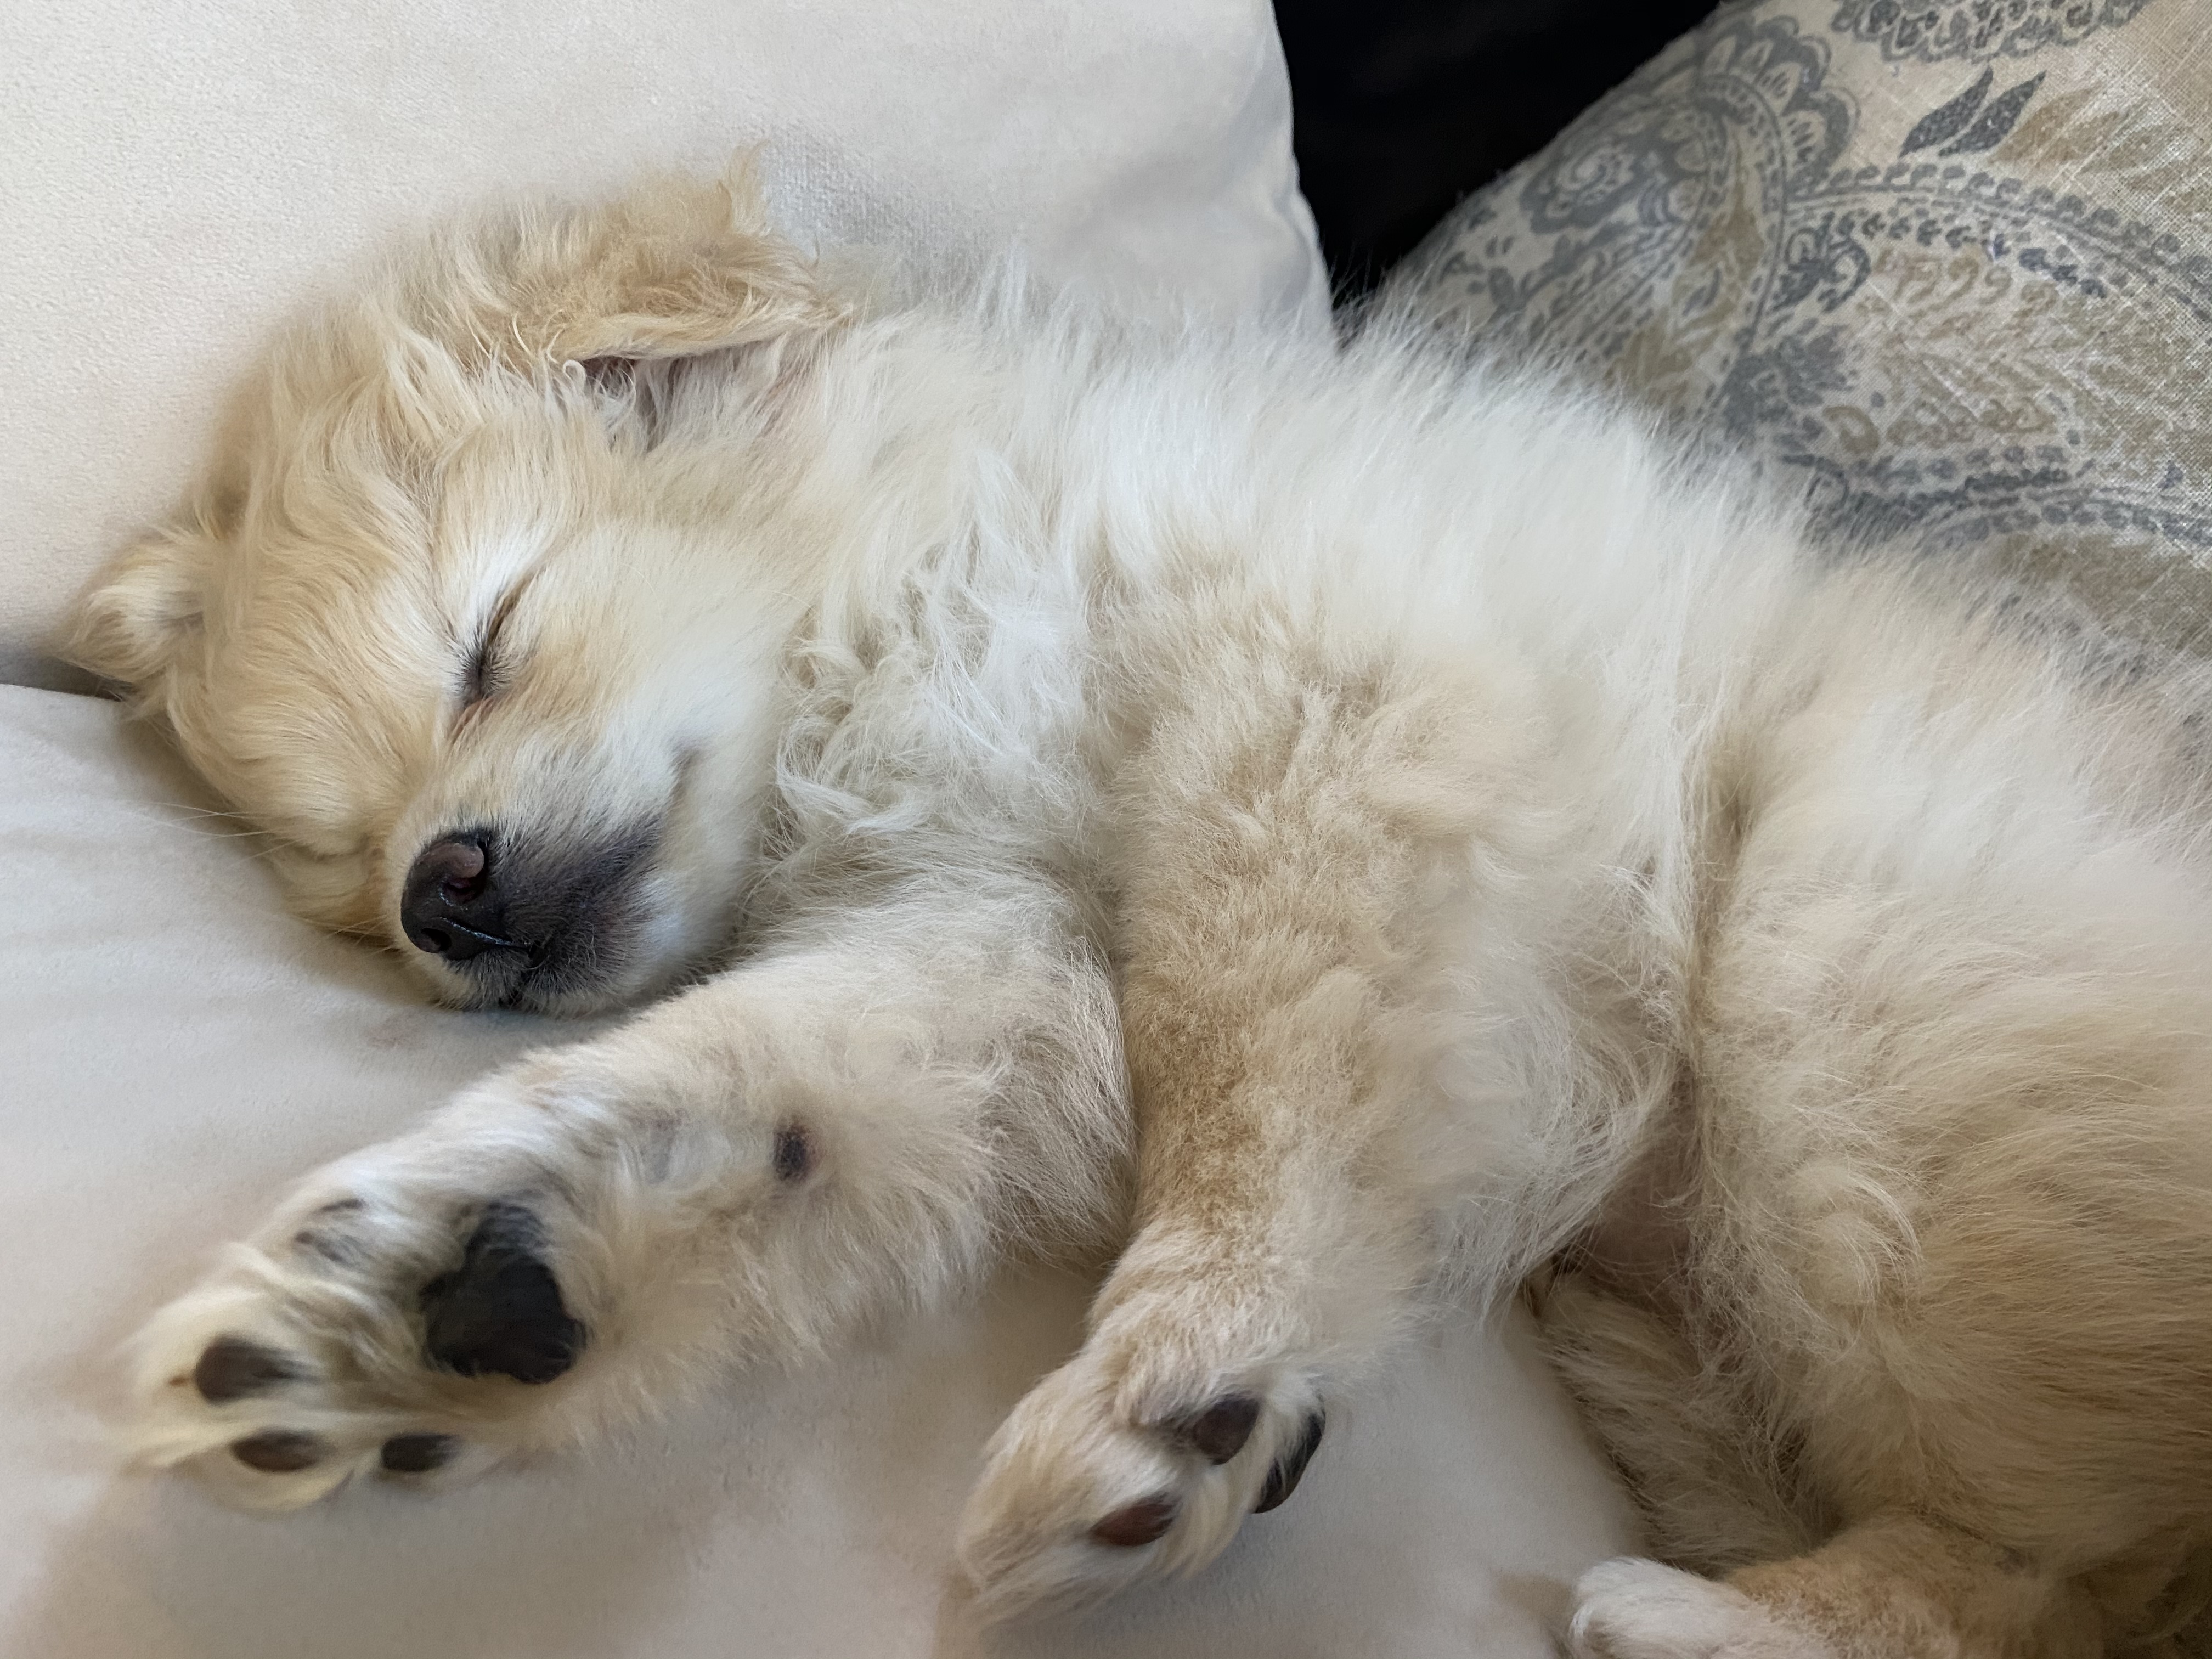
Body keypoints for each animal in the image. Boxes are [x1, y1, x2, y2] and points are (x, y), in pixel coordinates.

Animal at [63, 172, 2212, 1655]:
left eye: (486, 642)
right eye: (345, 859)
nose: (446, 892)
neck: (887, 611)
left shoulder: (1322, 728)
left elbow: (1250, 1089)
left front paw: (1192, 1371)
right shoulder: (1003, 951)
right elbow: (773, 1092)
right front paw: (458, 1286)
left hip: (1852, 976)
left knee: (2052, 1576)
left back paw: (1696, 1621)